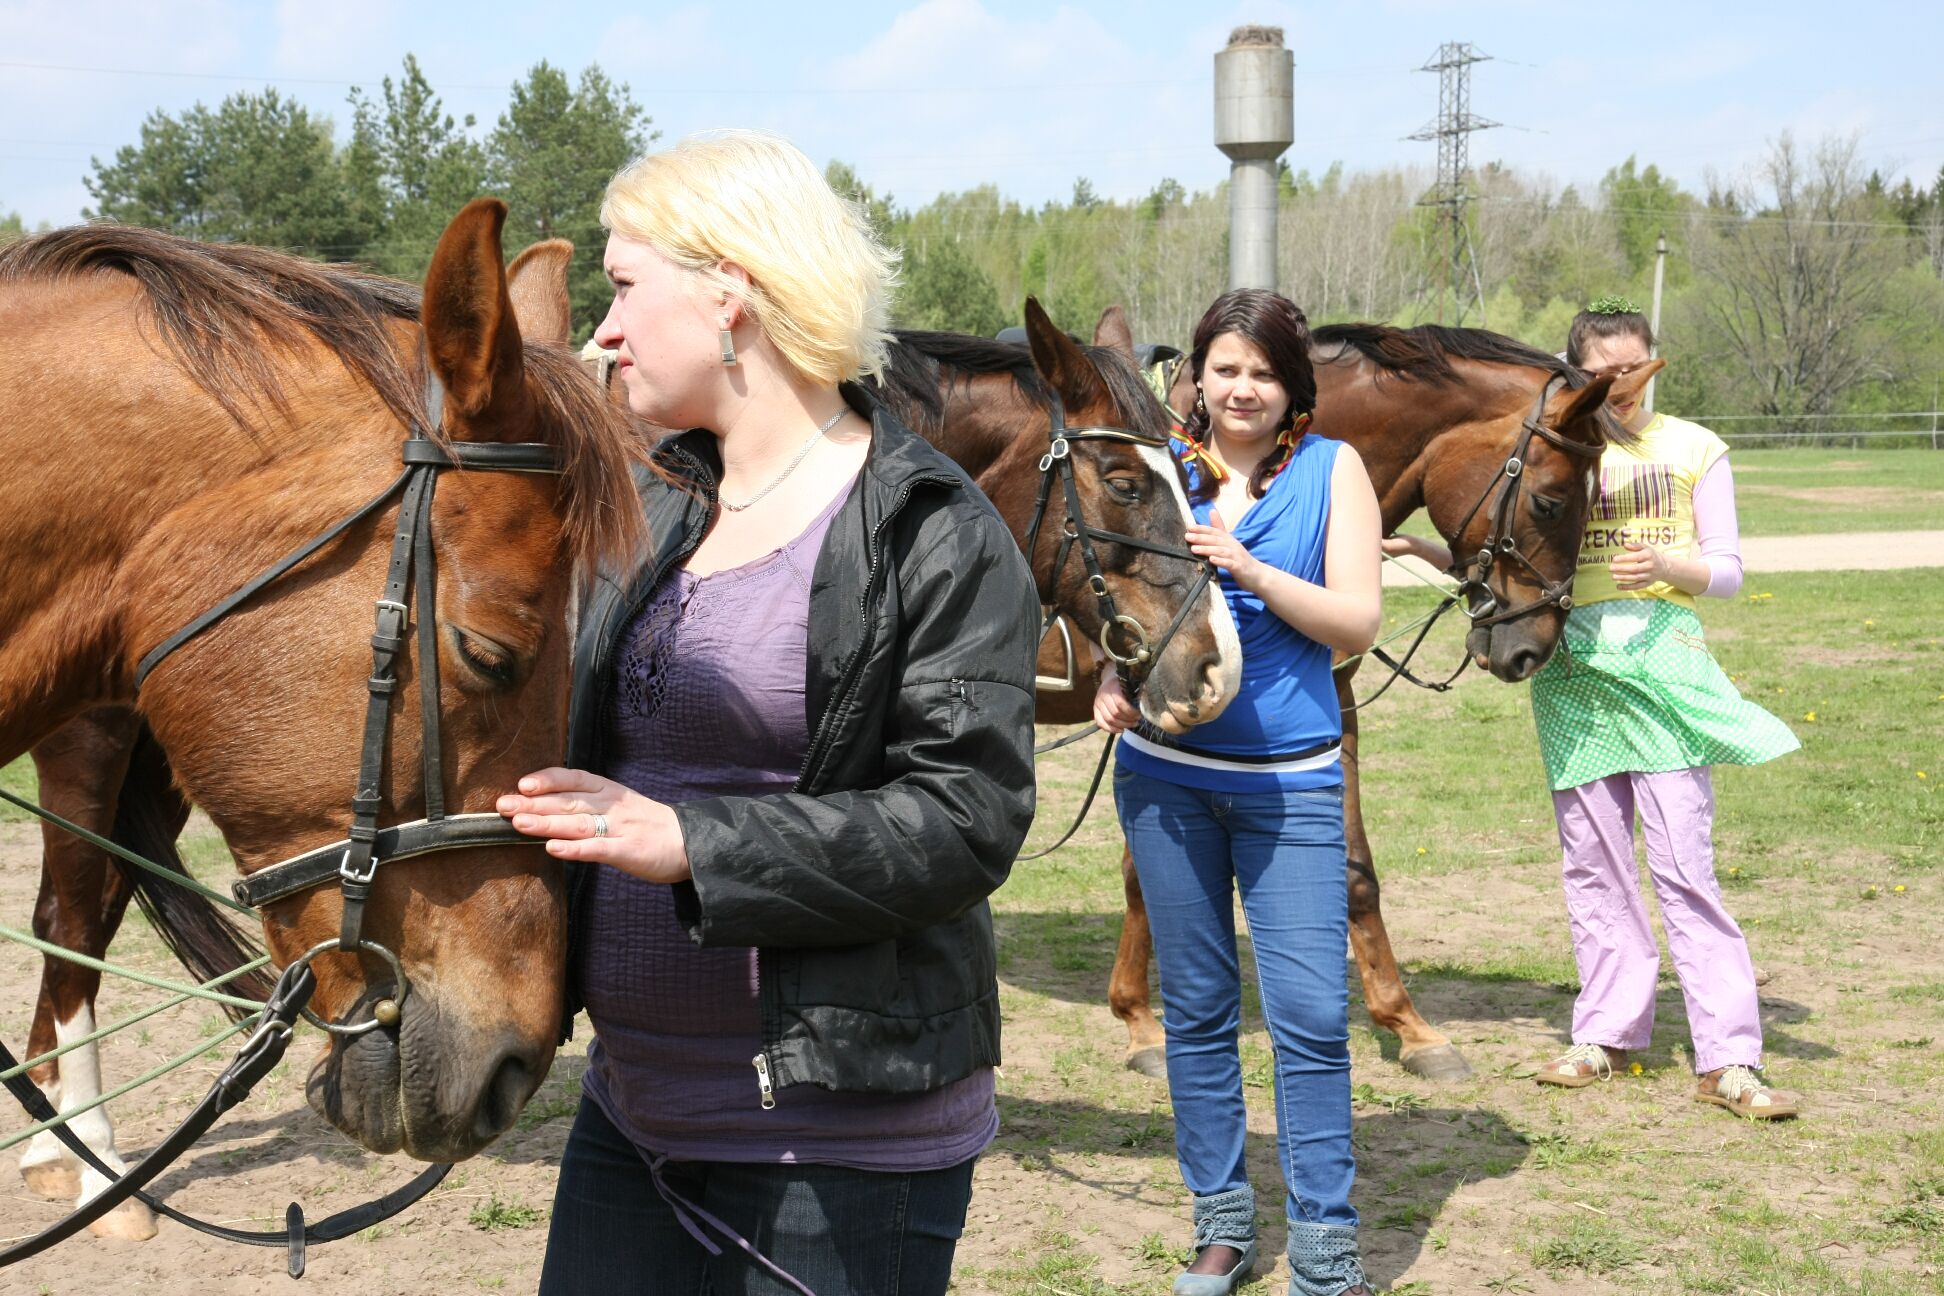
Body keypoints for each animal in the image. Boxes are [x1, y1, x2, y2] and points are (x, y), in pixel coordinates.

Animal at [1080, 322, 1656, 1072]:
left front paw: (1407, 1024)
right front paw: (1139, 1017)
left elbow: (1354, 872)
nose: (1534, 645)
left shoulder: (1333, 706)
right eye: (1550, 501)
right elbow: (1144, 869)